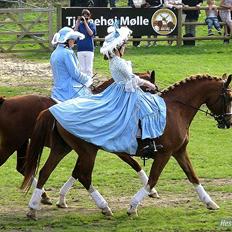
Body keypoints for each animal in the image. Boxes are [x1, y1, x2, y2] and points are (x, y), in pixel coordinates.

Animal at [0, 71, 158, 204]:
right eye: (152, 91)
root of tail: (5, 101)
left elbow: (76, 172)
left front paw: (61, 198)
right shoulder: (112, 147)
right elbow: (134, 163)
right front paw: (152, 190)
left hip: (22, 143)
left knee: (23, 168)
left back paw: (44, 196)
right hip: (11, 143)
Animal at [21, 74, 232, 219]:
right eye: (228, 98)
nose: (228, 122)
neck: (176, 110)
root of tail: (53, 109)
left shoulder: (179, 152)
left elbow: (193, 176)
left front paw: (210, 202)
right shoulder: (164, 154)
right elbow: (152, 179)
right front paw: (133, 207)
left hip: (63, 148)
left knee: (46, 171)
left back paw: (33, 208)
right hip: (87, 151)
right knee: (84, 176)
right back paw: (104, 207)